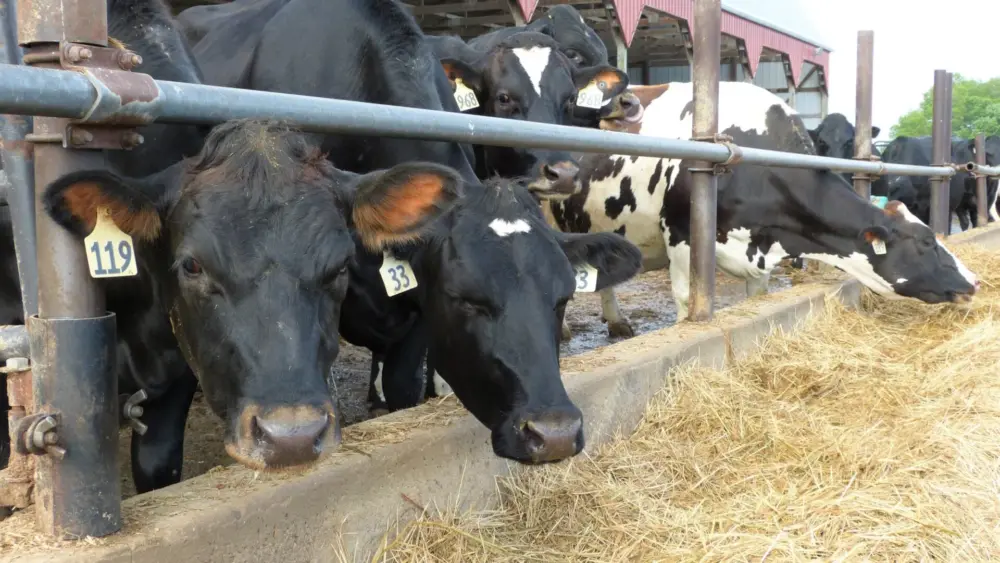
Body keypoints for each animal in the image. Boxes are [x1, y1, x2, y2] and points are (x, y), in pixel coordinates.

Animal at [546, 81, 979, 333]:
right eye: (926, 242)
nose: (974, 281)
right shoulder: (682, 238)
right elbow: (687, 304)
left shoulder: (761, 253)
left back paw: (618, 323)